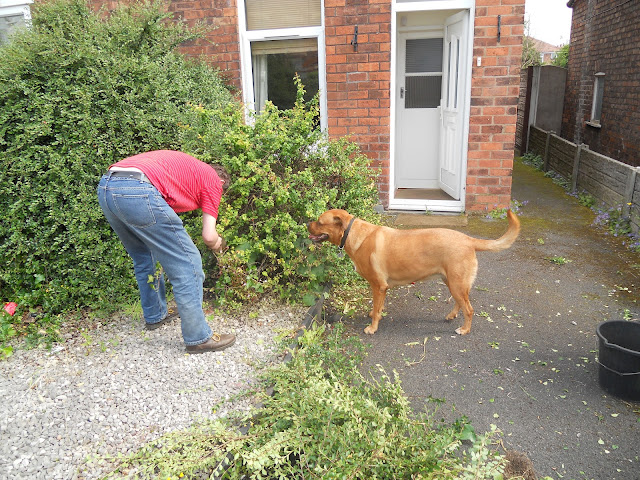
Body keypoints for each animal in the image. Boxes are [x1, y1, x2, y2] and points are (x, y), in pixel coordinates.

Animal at [306, 208, 520, 336]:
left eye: (319, 222)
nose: (306, 223)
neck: (354, 235)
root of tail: (469, 240)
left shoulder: (379, 286)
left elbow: (376, 310)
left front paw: (373, 327)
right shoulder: (379, 289)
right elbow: (377, 307)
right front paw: (375, 313)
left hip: (457, 283)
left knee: (469, 309)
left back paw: (464, 329)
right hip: (451, 282)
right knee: (460, 303)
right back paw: (451, 316)